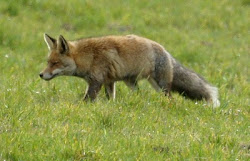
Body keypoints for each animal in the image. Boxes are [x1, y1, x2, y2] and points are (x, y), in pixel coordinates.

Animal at [39, 33, 221, 107]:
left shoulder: (96, 82)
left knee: (170, 100)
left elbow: (86, 100)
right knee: (140, 96)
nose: (41, 74)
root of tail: (165, 51)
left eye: (55, 63)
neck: (88, 57)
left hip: (160, 86)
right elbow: (111, 99)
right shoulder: (109, 82)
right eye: (48, 62)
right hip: (132, 83)